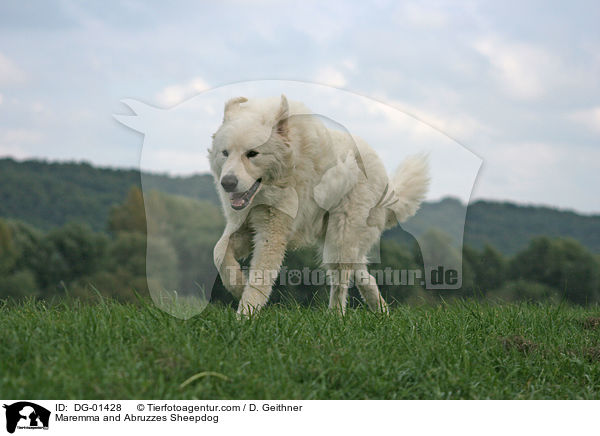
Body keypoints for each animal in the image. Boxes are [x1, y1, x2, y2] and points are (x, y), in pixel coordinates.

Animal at [209, 95, 428, 316]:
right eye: (225, 153)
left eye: (252, 153)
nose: (227, 183)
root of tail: (386, 180)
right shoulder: (243, 227)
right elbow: (219, 253)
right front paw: (238, 285)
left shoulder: (272, 234)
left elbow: (259, 279)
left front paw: (245, 315)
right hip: (341, 242)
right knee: (363, 274)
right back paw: (381, 311)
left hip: (340, 239)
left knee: (341, 284)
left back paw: (336, 317)